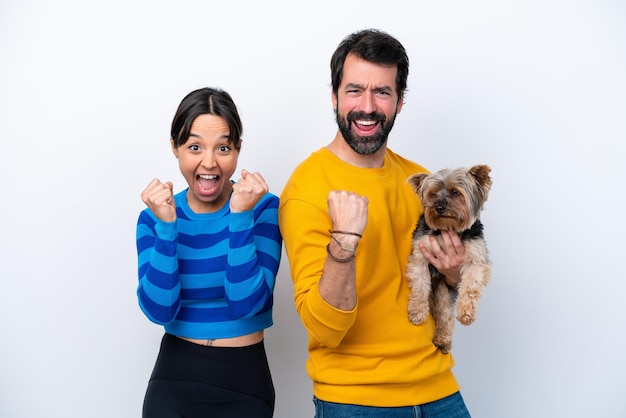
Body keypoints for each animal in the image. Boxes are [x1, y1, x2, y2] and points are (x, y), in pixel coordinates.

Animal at [404, 164, 492, 352]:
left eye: (455, 192)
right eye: (433, 193)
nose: (439, 207)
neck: (448, 227)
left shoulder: (476, 258)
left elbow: (471, 287)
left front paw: (466, 313)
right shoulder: (420, 254)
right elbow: (420, 284)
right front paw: (417, 312)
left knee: (446, 316)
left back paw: (443, 340)